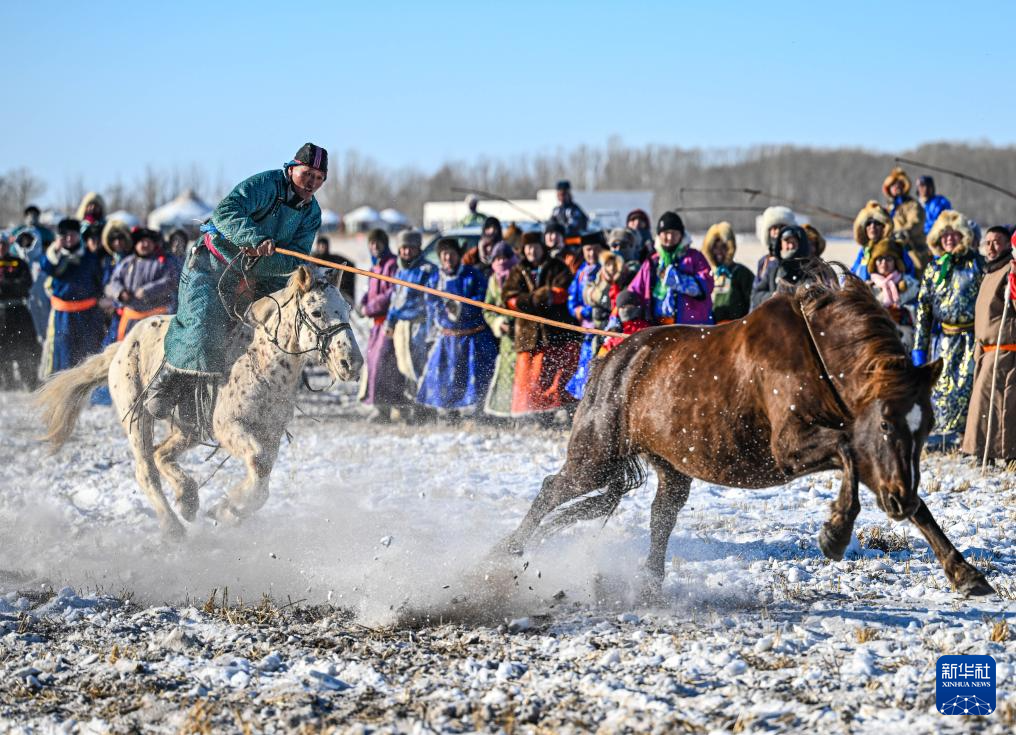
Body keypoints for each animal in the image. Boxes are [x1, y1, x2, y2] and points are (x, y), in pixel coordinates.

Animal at [35, 268, 361, 536]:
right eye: (316, 312)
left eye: (346, 308)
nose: (352, 362)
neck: (259, 360)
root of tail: (123, 345)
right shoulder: (229, 427)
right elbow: (258, 463)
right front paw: (229, 508)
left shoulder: (271, 433)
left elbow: (263, 474)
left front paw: (228, 509)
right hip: (137, 417)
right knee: (146, 469)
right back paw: (172, 526)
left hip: (187, 427)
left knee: (161, 454)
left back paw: (187, 500)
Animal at [503, 274, 995, 597]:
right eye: (888, 423)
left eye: (926, 426)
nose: (899, 502)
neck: (816, 356)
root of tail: (613, 357)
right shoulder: (791, 447)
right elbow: (843, 452)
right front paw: (834, 533)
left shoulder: (874, 460)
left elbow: (912, 503)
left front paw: (966, 573)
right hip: (596, 457)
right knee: (552, 489)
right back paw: (505, 553)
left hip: (672, 466)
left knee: (661, 515)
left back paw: (650, 583)